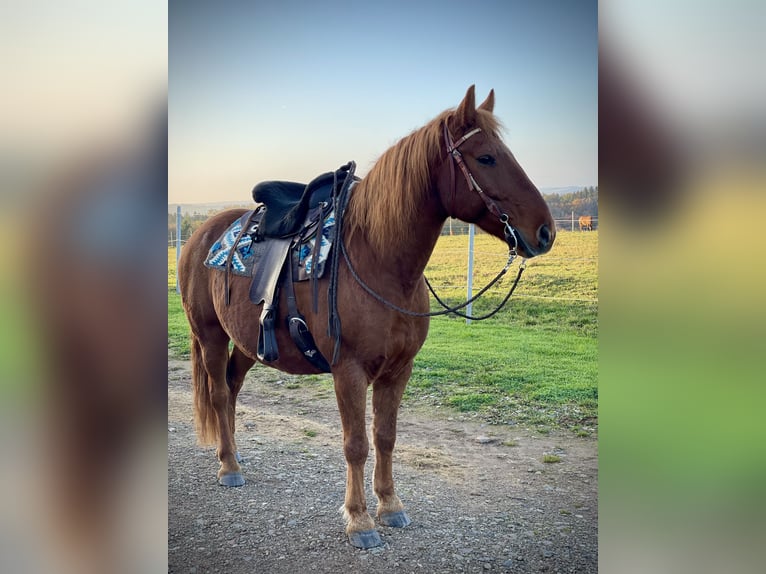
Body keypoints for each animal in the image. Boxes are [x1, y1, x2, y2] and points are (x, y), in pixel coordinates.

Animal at [177, 85, 556, 548]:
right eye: (486, 158)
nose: (545, 232)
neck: (378, 257)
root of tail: (203, 233)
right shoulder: (349, 370)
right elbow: (356, 443)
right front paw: (359, 520)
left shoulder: (399, 370)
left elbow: (386, 437)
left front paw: (390, 506)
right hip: (209, 335)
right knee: (217, 393)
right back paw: (229, 467)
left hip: (249, 344)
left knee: (231, 389)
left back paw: (231, 454)